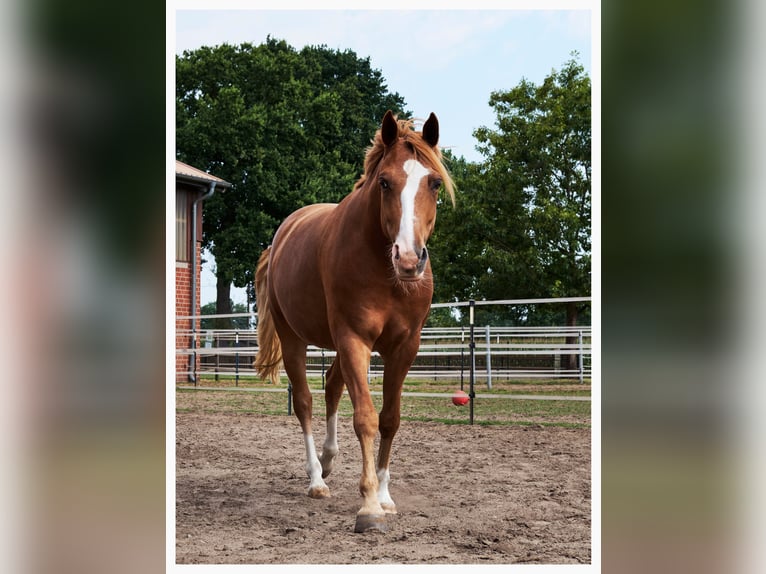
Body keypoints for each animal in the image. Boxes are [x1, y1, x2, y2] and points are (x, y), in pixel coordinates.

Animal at [254, 110, 454, 533]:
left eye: (433, 183)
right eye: (384, 182)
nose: (409, 259)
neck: (384, 271)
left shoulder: (404, 348)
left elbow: (390, 419)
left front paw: (385, 495)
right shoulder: (353, 338)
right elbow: (365, 417)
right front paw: (369, 505)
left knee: (331, 386)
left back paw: (328, 460)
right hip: (294, 338)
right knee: (306, 401)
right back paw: (316, 478)